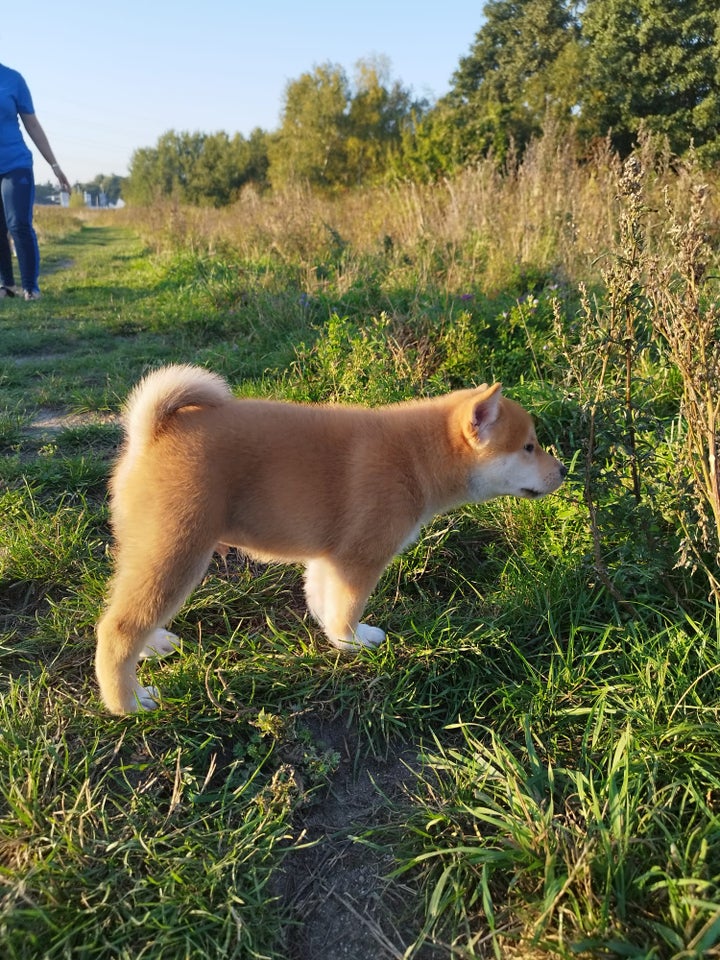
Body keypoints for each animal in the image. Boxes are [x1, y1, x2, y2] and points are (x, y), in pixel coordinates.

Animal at [97, 366, 568, 712]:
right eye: (529, 447)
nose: (564, 470)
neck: (416, 457)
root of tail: (152, 435)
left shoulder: (329, 558)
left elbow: (324, 600)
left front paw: (335, 637)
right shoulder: (361, 557)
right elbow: (348, 606)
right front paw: (353, 642)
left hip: (152, 551)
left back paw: (154, 645)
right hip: (178, 550)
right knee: (118, 627)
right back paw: (129, 702)